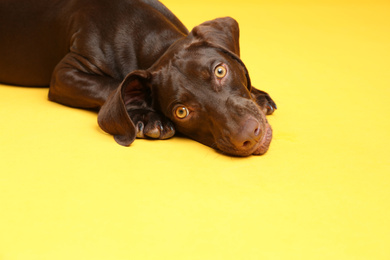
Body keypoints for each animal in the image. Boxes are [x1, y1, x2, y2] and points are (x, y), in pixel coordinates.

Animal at [0, 0, 276, 156]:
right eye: (181, 112)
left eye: (220, 70)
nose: (248, 135)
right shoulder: (64, 74)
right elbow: (112, 86)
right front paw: (147, 117)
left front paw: (258, 95)